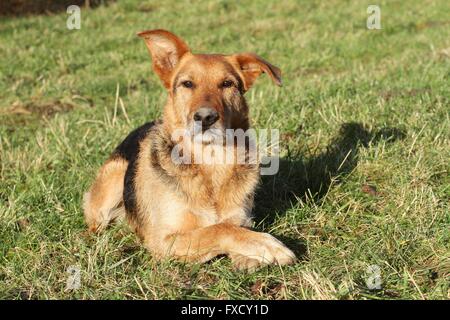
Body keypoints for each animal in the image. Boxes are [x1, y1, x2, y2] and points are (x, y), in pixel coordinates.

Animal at [83, 29, 296, 270]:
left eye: (227, 83)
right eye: (187, 84)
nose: (205, 117)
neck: (211, 160)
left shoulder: (241, 217)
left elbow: (233, 227)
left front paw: (248, 255)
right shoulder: (165, 241)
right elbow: (217, 230)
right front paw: (266, 245)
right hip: (111, 185)